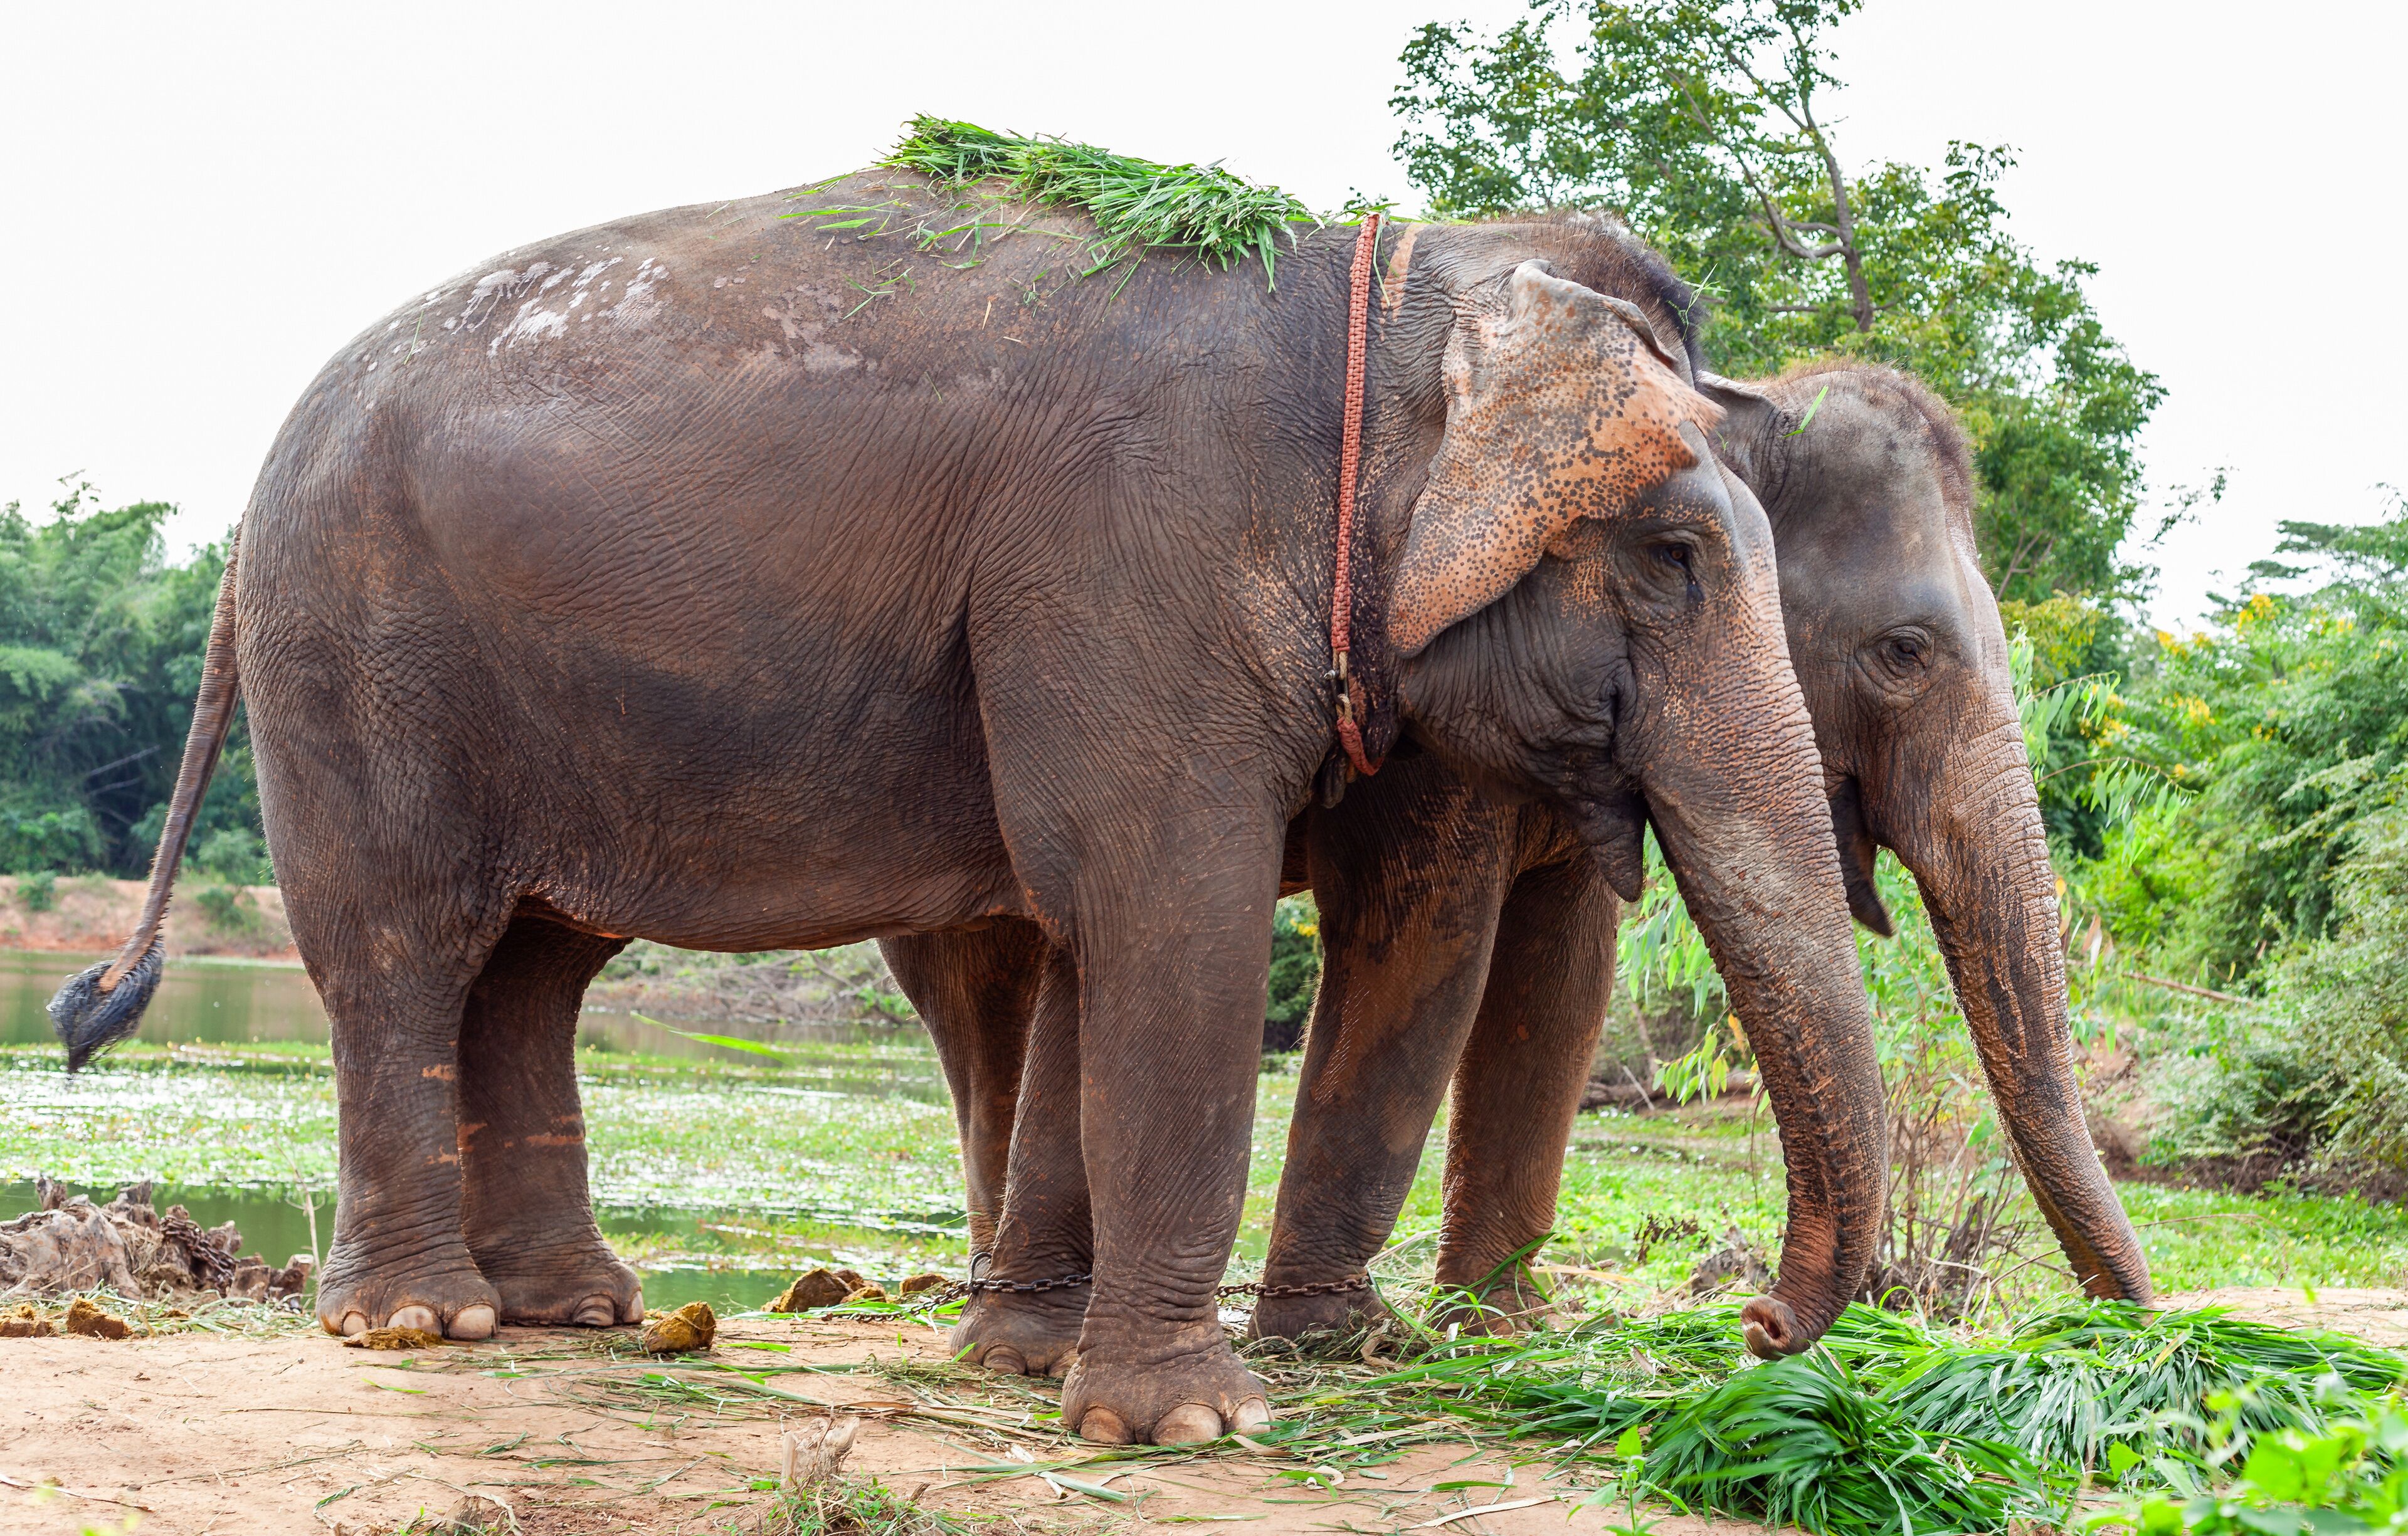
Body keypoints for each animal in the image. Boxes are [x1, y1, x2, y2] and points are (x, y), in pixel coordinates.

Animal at [50, 176, 1883, 1445]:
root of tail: (242, 513)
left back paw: (569, 1312)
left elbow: (1092, 932)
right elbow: (1169, 908)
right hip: (358, 657)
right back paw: (423, 1330)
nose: (1756, 1333)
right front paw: (1188, 1426)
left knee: (536, 966)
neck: (1375, 282)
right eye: (1675, 557)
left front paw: (1028, 1366)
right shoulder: (1135, 554)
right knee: (404, 950)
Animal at [886, 359, 2150, 1368]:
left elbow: (1565, 981)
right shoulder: (1429, 712)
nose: (1756, 1325)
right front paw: (1353, 1338)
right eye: (1904, 652)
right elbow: (1432, 939)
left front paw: (1503, 1322)